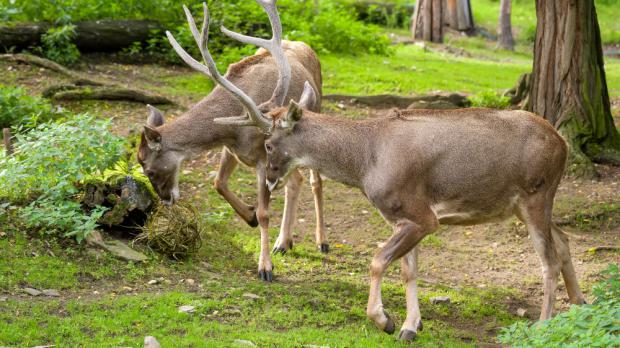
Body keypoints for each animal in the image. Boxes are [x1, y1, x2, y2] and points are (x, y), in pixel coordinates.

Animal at [138, 0, 326, 282]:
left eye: (149, 169)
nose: (166, 199)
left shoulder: (263, 158)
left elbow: (265, 213)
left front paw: (265, 267)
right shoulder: (233, 148)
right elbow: (218, 182)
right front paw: (249, 216)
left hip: (317, 111)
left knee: (316, 180)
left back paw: (321, 241)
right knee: (297, 179)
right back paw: (283, 242)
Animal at [213, 83, 588, 340]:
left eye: (269, 143)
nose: (270, 178)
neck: (366, 163)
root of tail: (563, 143)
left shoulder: (423, 216)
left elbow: (378, 261)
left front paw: (385, 320)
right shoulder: (403, 217)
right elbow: (409, 271)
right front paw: (410, 326)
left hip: (535, 193)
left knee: (548, 259)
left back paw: (544, 323)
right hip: (527, 204)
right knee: (564, 240)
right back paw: (580, 303)